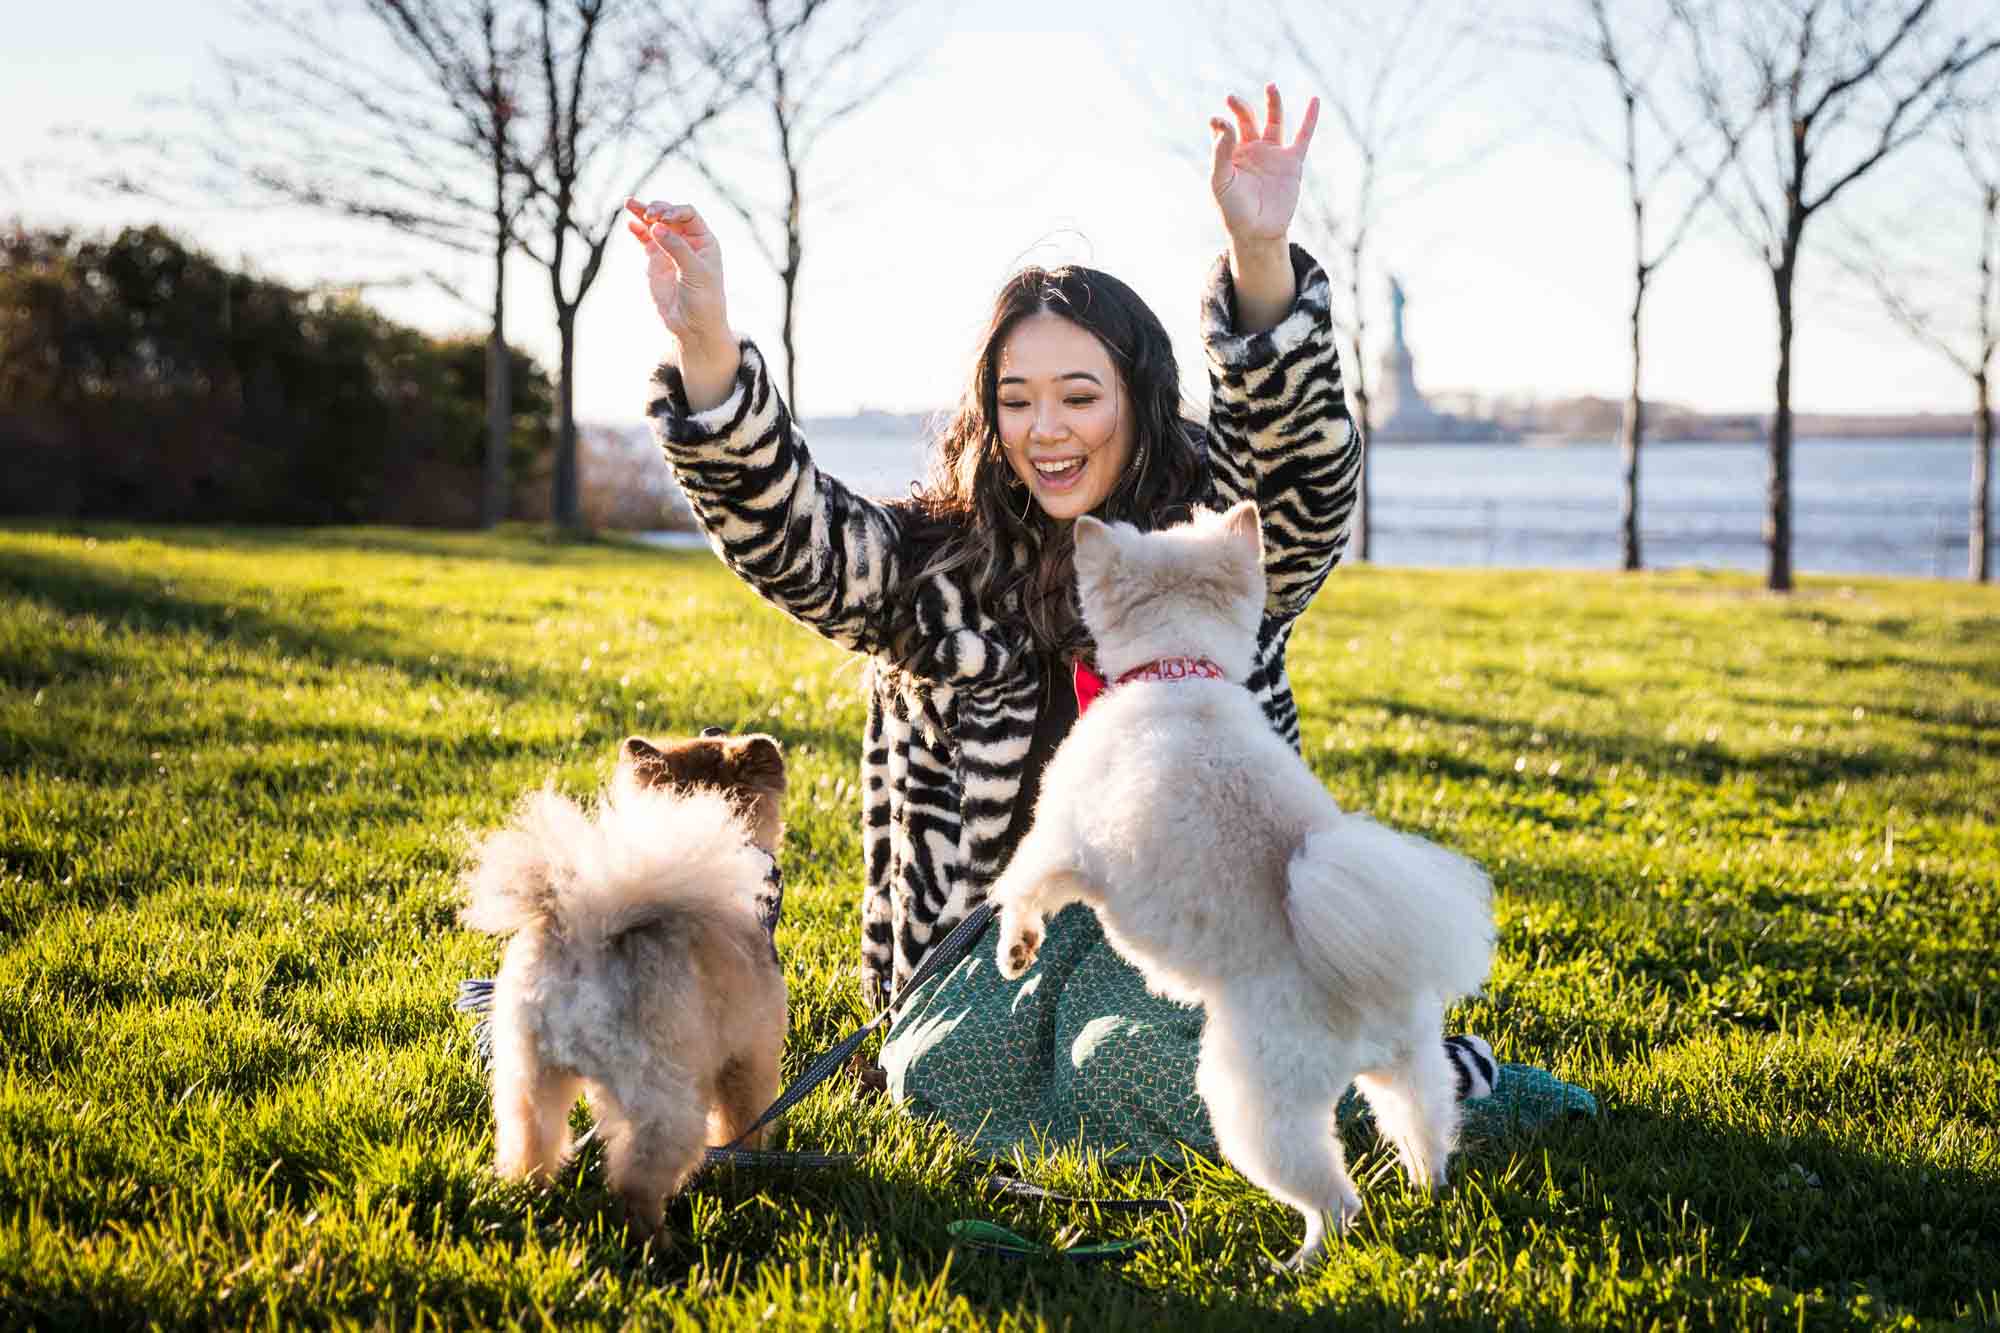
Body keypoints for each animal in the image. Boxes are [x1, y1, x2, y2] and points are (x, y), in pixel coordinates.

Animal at [992, 498, 1496, 1264]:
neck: (1177, 674)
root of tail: (1362, 994)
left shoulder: (1064, 834)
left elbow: (1023, 881)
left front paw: (1014, 949)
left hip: (1251, 1102)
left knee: (1335, 1201)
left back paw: (1296, 1263)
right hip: (1411, 1067)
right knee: (1425, 1127)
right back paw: (1425, 1191)